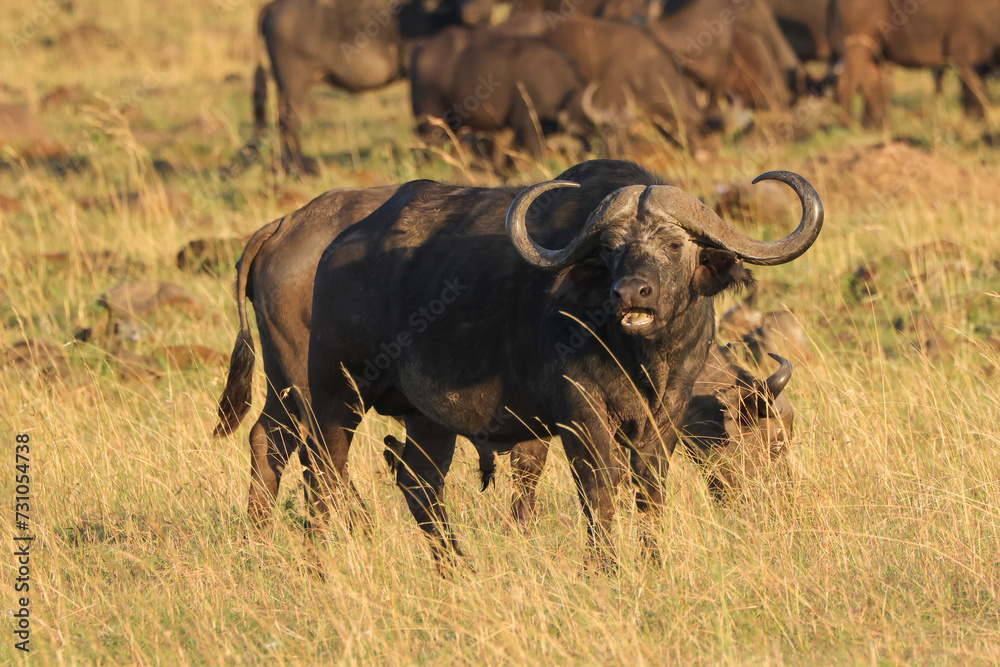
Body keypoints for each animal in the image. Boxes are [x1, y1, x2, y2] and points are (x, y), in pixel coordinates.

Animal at [302, 158, 822, 563]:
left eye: (675, 245)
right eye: (611, 249)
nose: (631, 292)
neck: (641, 359)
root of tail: (333, 249)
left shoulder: (667, 412)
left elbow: (650, 487)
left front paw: (652, 562)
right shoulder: (579, 412)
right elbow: (598, 488)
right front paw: (603, 567)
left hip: (427, 418)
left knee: (420, 484)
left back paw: (455, 567)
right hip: (335, 394)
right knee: (323, 473)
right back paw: (320, 564)